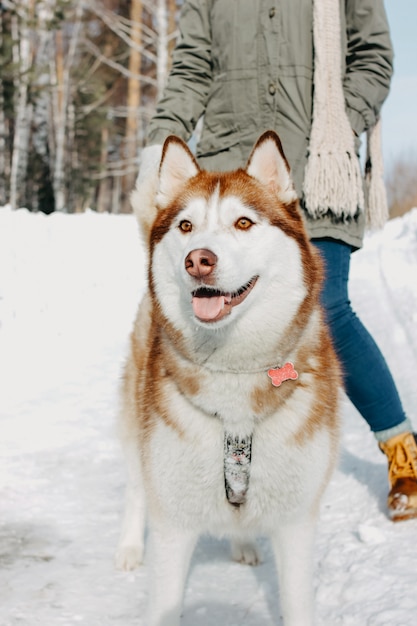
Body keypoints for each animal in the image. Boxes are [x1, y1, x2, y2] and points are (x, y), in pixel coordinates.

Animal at [115, 132, 340, 624]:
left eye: (243, 222)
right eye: (185, 226)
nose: (198, 260)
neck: (234, 372)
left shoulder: (296, 521)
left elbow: (297, 603)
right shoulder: (173, 521)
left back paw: (243, 543)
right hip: (138, 429)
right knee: (137, 488)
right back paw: (128, 548)